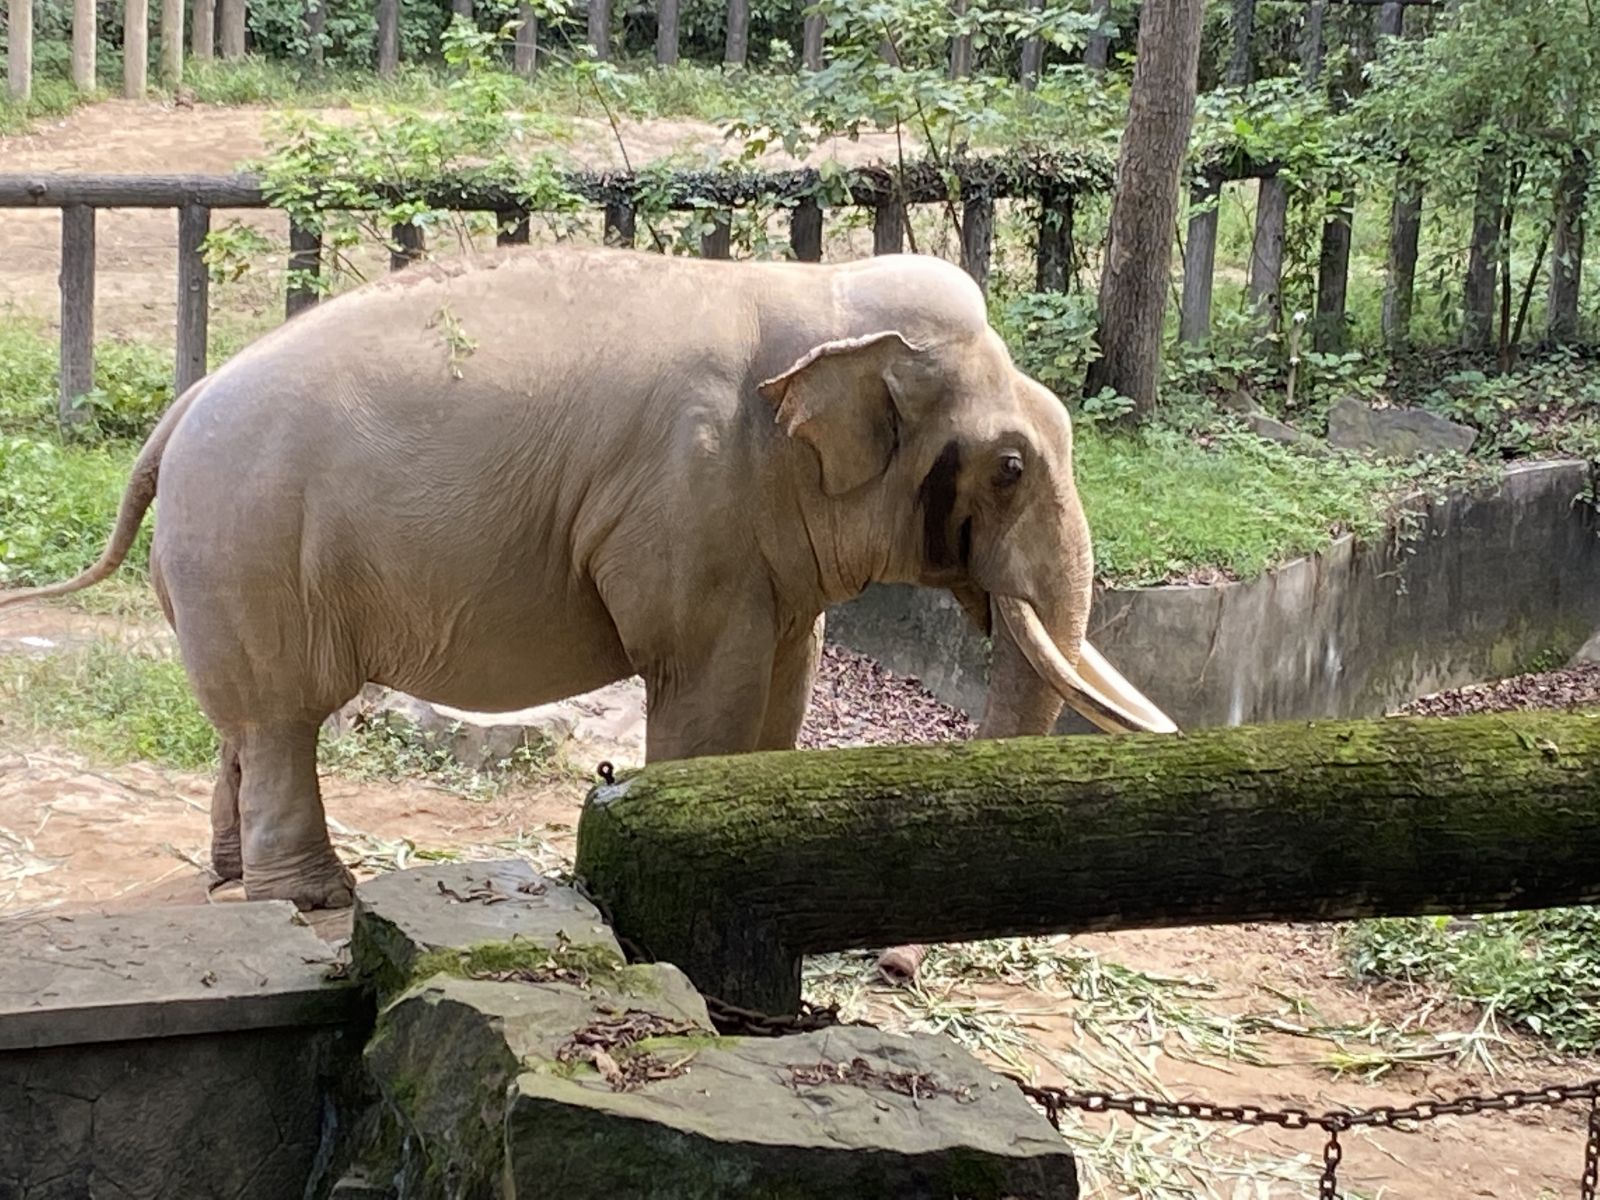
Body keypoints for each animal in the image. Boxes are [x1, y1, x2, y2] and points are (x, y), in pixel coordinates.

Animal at [0, 246, 1177, 921]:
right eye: (1012, 467)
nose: (898, 965)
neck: (814, 295)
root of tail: (174, 416)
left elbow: (785, 679)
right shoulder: (688, 499)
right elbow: (705, 683)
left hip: (216, 570)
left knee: (243, 723)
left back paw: (228, 879)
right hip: (250, 549)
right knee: (284, 719)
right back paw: (312, 902)